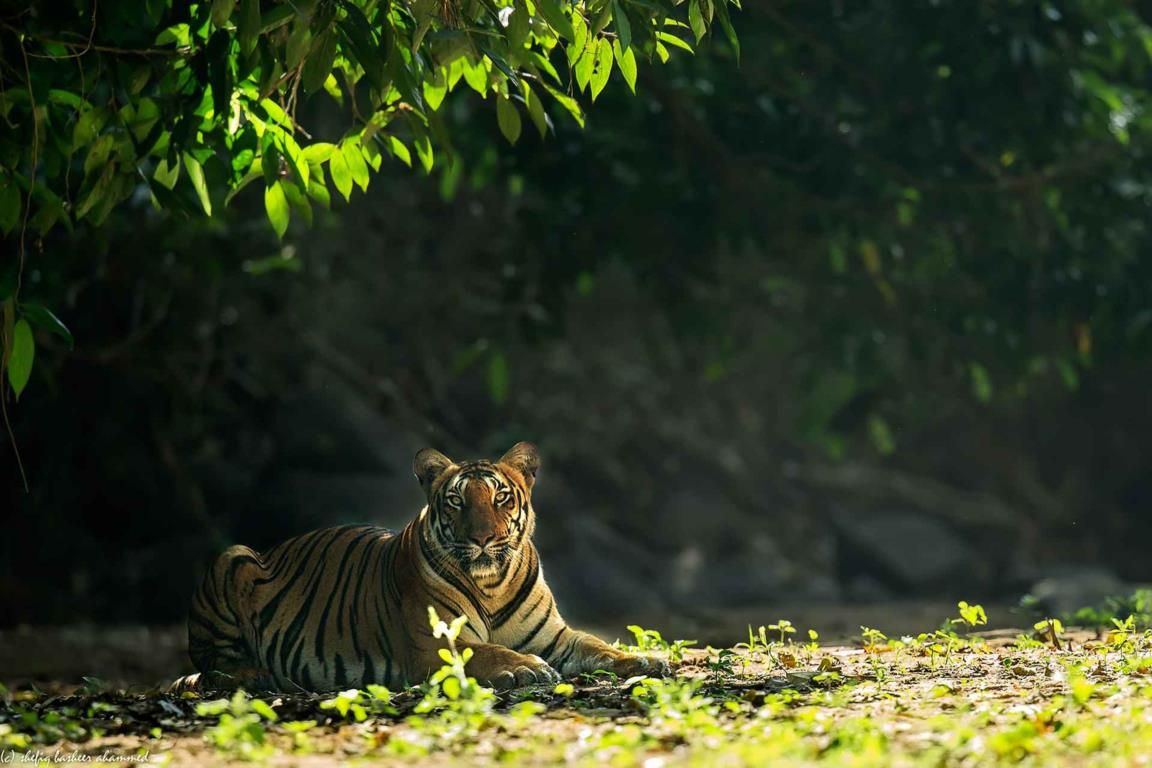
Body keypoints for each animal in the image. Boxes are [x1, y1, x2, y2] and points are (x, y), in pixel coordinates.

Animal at [172, 442, 668, 692]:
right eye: (457, 500)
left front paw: (644, 658)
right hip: (233, 557)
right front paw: (526, 668)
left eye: (500, 497)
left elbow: (597, 645)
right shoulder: (435, 642)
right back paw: (256, 676)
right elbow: (484, 651)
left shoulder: (556, 637)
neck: (493, 585)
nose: (483, 538)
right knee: (213, 664)